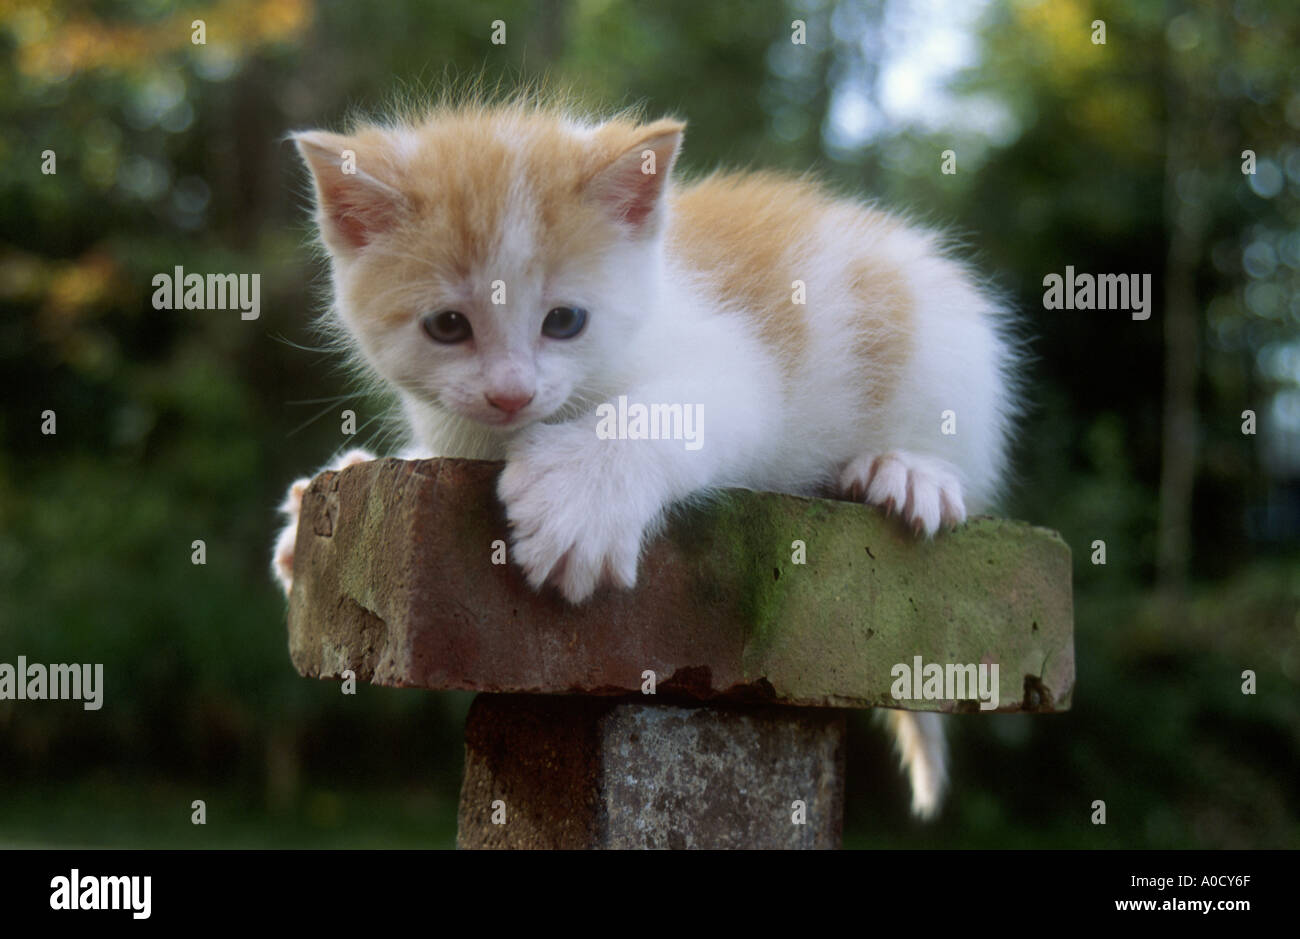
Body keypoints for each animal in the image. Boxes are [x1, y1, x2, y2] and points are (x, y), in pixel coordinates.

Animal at [274, 98, 1019, 816]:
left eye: (565, 321)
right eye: (447, 326)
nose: (511, 393)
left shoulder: (735, 369)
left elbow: (681, 411)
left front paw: (581, 498)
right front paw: (339, 479)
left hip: (950, 354)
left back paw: (910, 470)